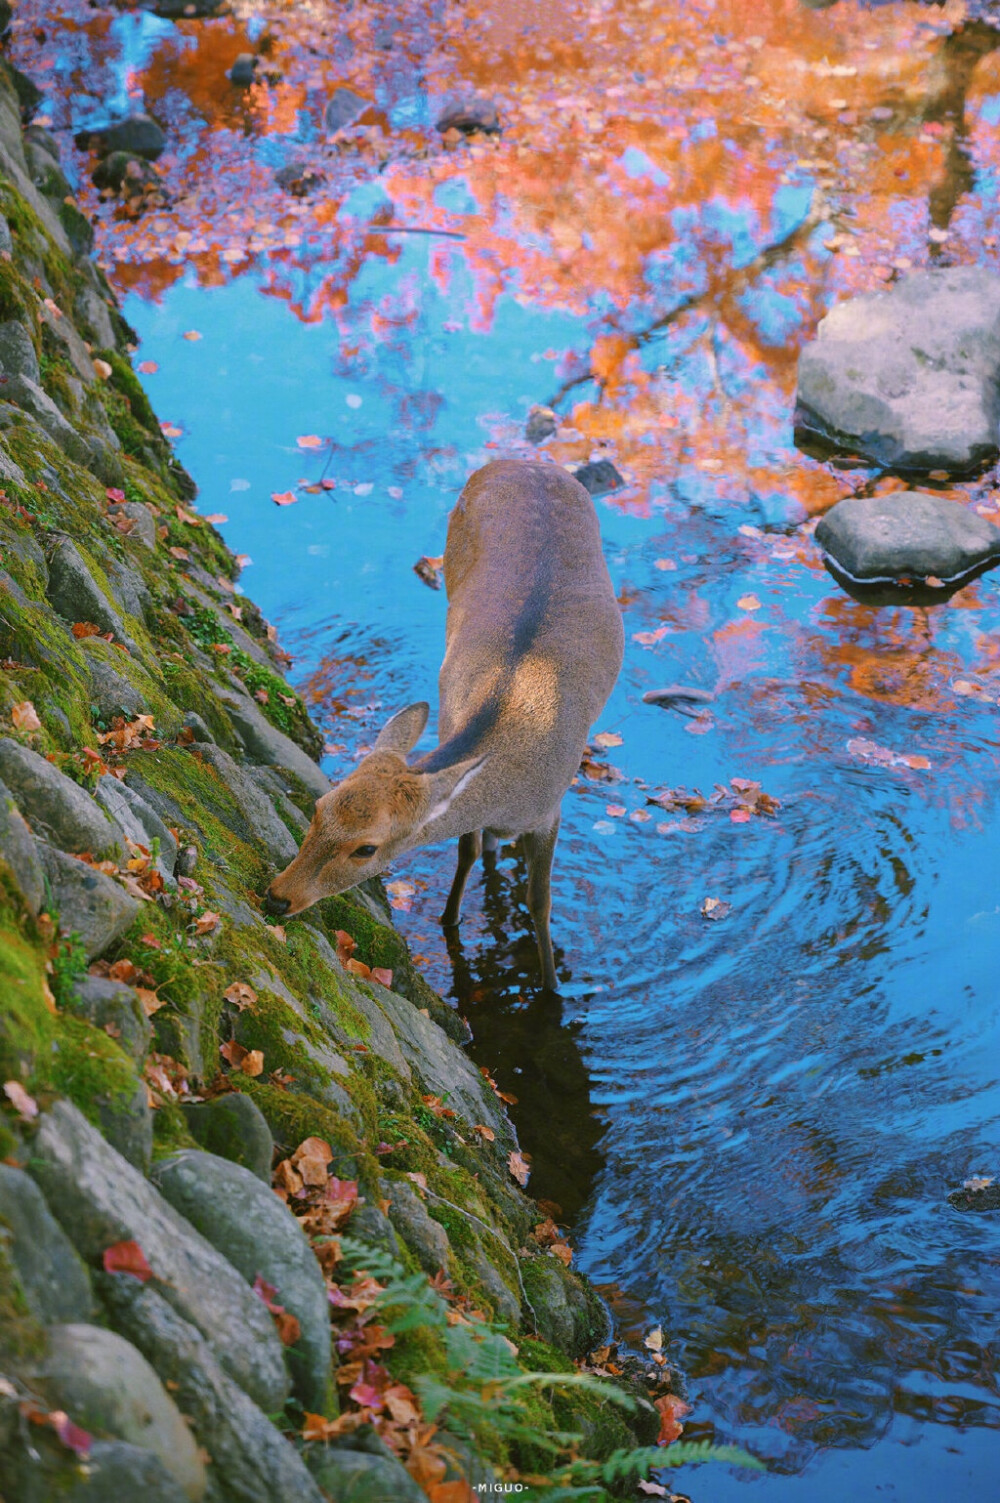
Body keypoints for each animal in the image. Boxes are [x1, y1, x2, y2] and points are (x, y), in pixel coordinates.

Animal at [264, 462, 625, 991]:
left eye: (366, 848)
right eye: (317, 808)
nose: (278, 896)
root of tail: (521, 461)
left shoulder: (551, 810)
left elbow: (540, 902)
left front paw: (551, 984)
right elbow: (468, 852)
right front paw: (450, 920)